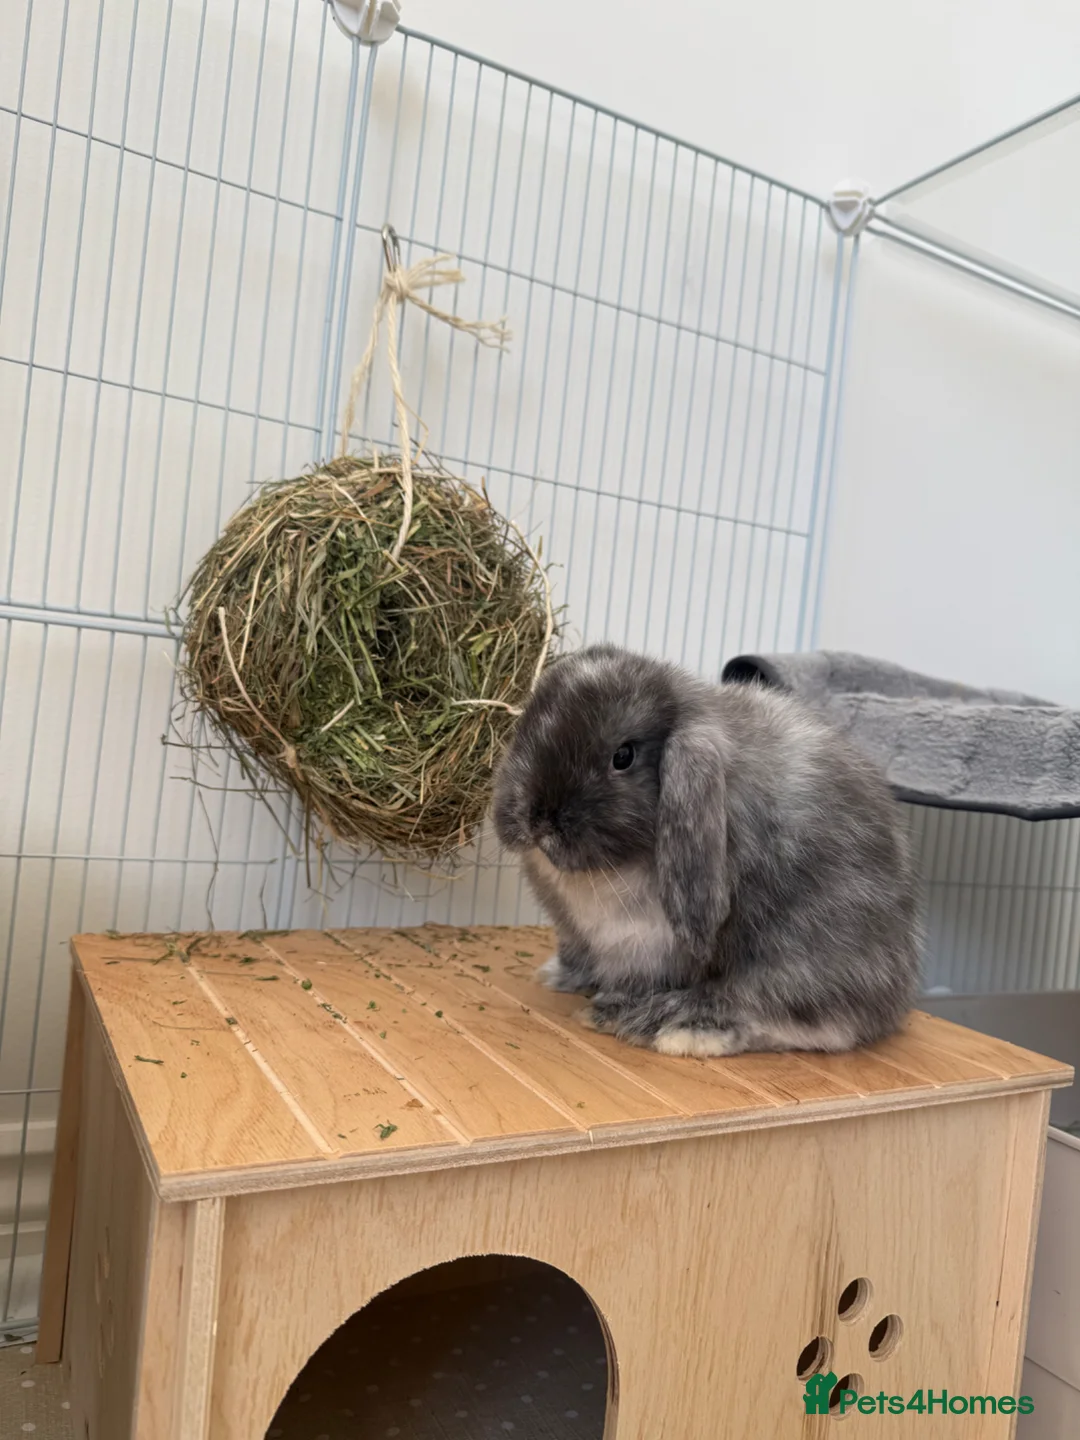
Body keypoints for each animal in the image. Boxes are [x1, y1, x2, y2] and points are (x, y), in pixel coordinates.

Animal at [491, 644, 921, 1057]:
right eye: (526, 727)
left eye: (623, 756)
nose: (537, 819)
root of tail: (896, 996)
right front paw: (559, 976)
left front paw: (617, 1004)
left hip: (804, 955)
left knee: (808, 1021)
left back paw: (673, 1025)